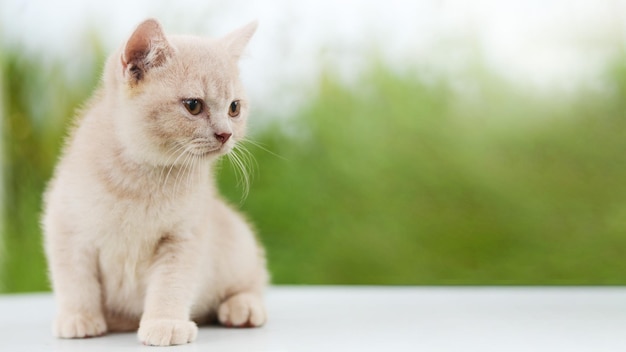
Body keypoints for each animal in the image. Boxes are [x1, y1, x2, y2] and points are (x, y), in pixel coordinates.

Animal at [41, 17, 266, 346]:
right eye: (193, 105)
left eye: (234, 108)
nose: (226, 134)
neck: (141, 179)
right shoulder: (65, 225)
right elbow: (75, 279)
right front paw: (78, 317)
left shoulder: (184, 236)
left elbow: (171, 283)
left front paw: (165, 323)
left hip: (238, 240)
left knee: (254, 278)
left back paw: (243, 306)